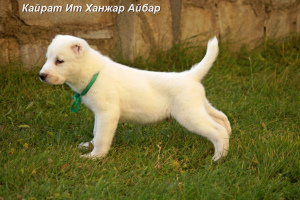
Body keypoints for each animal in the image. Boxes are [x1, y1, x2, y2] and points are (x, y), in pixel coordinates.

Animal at [39, 34, 232, 161]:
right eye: (47, 58)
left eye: (59, 61)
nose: (41, 75)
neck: (93, 71)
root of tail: (190, 75)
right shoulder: (100, 115)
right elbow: (96, 132)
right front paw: (89, 145)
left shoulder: (107, 114)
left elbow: (101, 136)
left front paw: (94, 156)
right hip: (199, 107)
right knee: (221, 117)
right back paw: (228, 135)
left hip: (189, 115)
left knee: (217, 130)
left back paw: (219, 157)